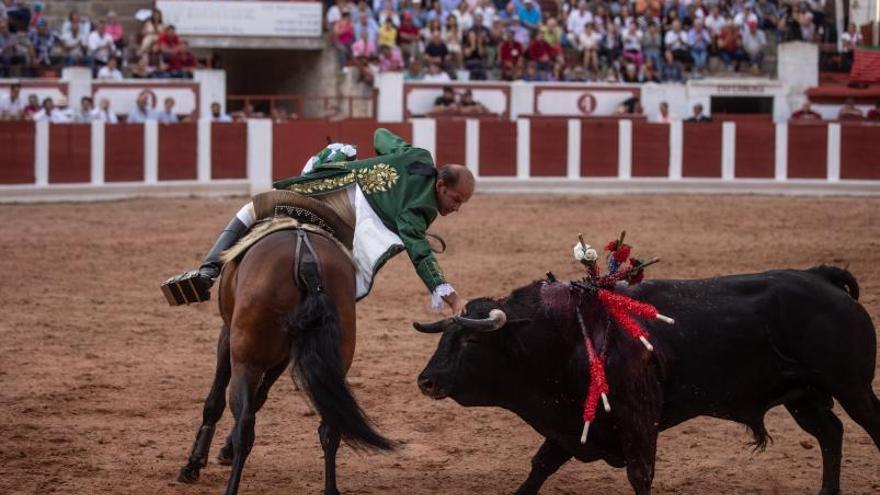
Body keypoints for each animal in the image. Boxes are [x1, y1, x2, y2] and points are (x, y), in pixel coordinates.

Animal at [177, 230, 394, 495]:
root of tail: (307, 261)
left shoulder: (229, 337)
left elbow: (216, 401)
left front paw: (194, 464)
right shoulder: (283, 355)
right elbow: (260, 397)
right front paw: (222, 451)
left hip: (246, 360)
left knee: (245, 426)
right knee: (331, 426)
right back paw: (330, 488)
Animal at [414, 268, 880, 495]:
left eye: (472, 340)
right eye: (445, 337)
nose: (427, 381)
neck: (564, 334)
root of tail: (822, 277)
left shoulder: (637, 417)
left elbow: (641, 475)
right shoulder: (572, 422)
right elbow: (540, 467)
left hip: (853, 388)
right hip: (803, 396)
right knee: (831, 433)